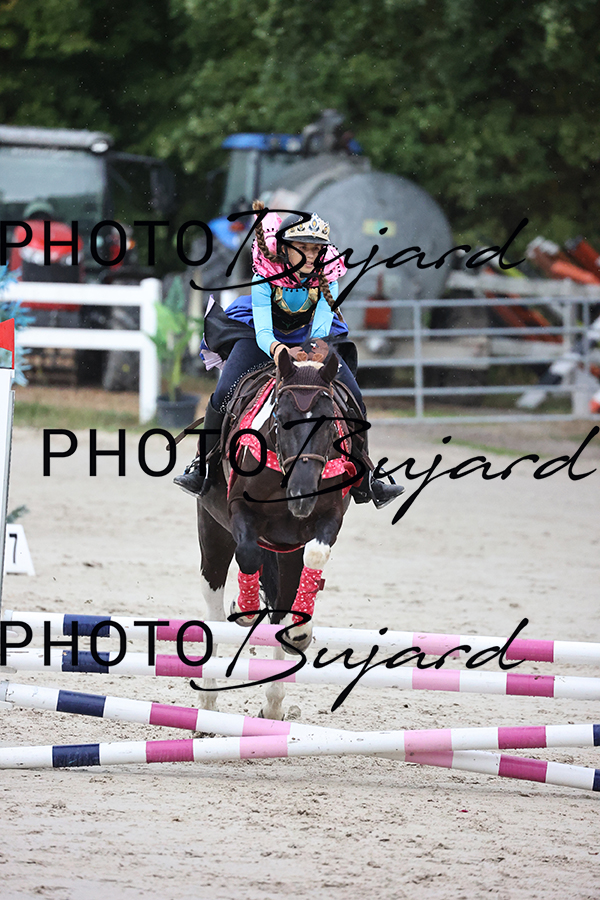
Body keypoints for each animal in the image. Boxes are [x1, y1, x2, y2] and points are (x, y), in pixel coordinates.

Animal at [193, 342, 360, 719]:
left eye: (330, 423)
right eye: (281, 420)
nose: (302, 494)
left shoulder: (328, 518)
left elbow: (316, 555)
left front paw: (300, 631)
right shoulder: (239, 512)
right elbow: (248, 553)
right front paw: (245, 607)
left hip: (287, 553)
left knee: (281, 607)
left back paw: (272, 704)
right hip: (212, 531)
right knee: (213, 604)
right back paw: (208, 699)